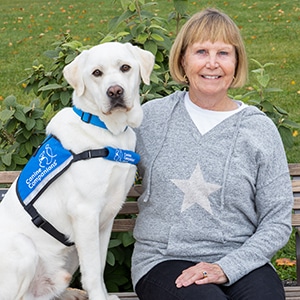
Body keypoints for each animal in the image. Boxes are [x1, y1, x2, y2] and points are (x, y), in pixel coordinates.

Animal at [0, 42, 155, 300]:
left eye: (125, 67)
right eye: (96, 73)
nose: (115, 92)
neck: (107, 131)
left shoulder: (106, 219)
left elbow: (99, 267)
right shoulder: (85, 214)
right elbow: (91, 272)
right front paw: (99, 297)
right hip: (24, 247)